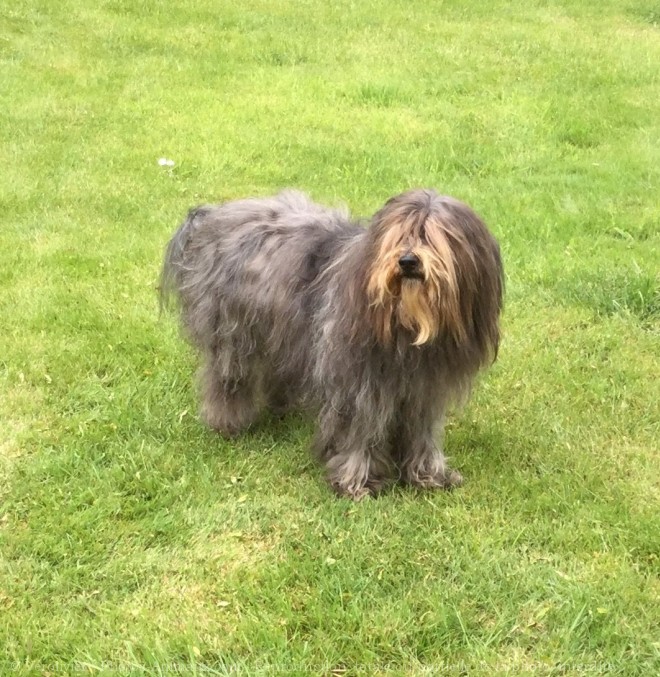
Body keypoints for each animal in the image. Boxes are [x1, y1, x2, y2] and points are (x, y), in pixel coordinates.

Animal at [162, 187, 502, 500]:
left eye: (431, 237)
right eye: (398, 237)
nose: (407, 261)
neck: (404, 328)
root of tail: (213, 217)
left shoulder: (424, 390)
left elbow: (422, 433)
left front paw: (428, 476)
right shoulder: (358, 387)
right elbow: (358, 433)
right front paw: (356, 483)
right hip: (234, 334)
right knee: (228, 379)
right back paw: (228, 423)